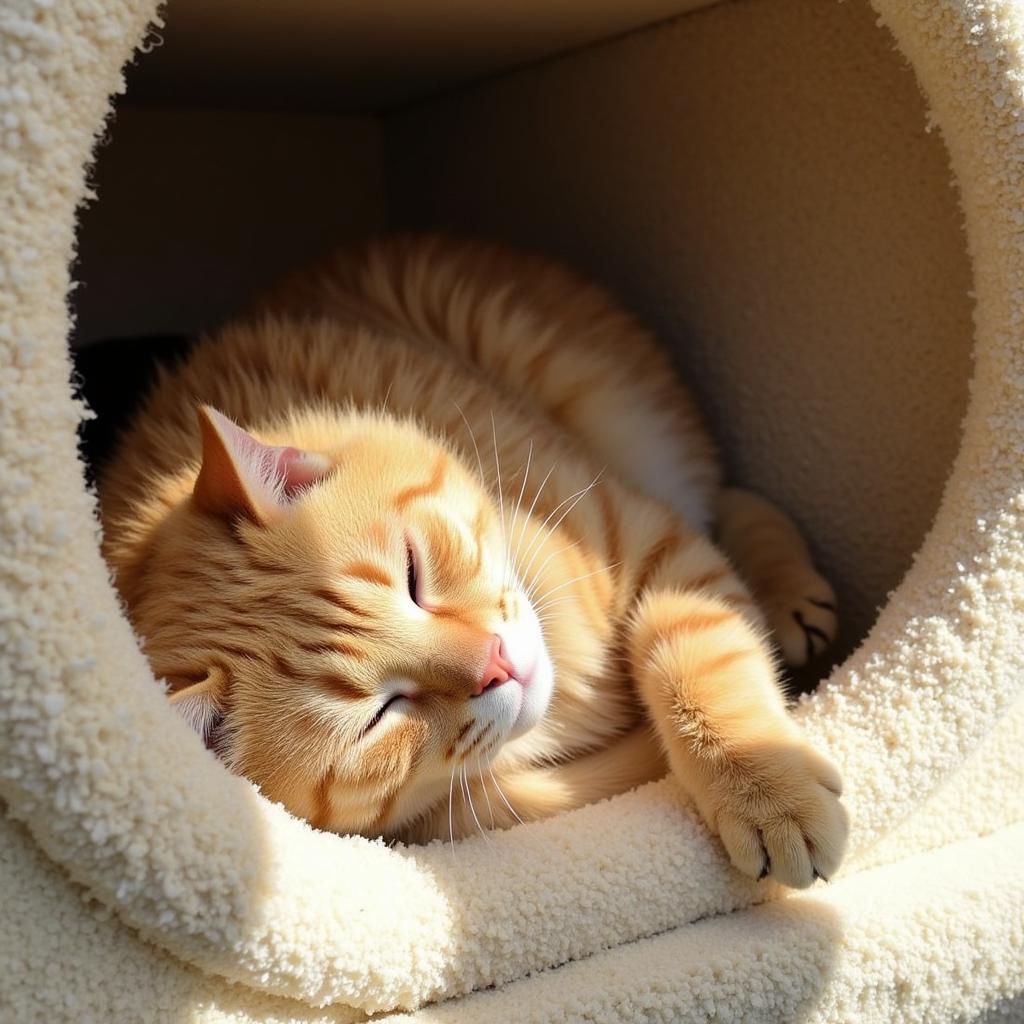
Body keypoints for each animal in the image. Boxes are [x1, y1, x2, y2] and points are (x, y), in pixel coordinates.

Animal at [97, 234, 847, 888]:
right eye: (379, 717)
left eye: (413, 575)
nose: (497, 663)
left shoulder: (643, 536)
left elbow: (699, 652)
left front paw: (770, 791)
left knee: (732, 500)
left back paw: (792, 600)